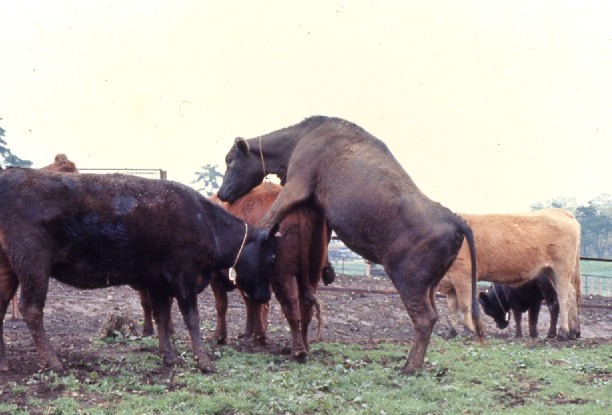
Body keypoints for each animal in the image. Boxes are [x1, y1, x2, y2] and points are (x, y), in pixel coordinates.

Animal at [0, 167, 278, 376]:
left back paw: (5, 364)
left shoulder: (159, 283)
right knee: (31, 309)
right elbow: (192, 319)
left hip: (9, 269)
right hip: (33, 263)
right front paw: (204, 362)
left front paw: (170, 357)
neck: (206, 222)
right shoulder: (184, 279)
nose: (265, 296)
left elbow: (163, 317)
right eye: (271, 257)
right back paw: (54, 363)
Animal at [216, 115, 482, 376]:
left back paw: (409, 367)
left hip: (409, 281)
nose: (221, 193)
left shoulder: (297, 185)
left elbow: (269, 216)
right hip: (430, 285)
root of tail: (454, 219)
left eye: (230, 159)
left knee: (425, 319)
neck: (301, 137)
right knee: (433, 315)